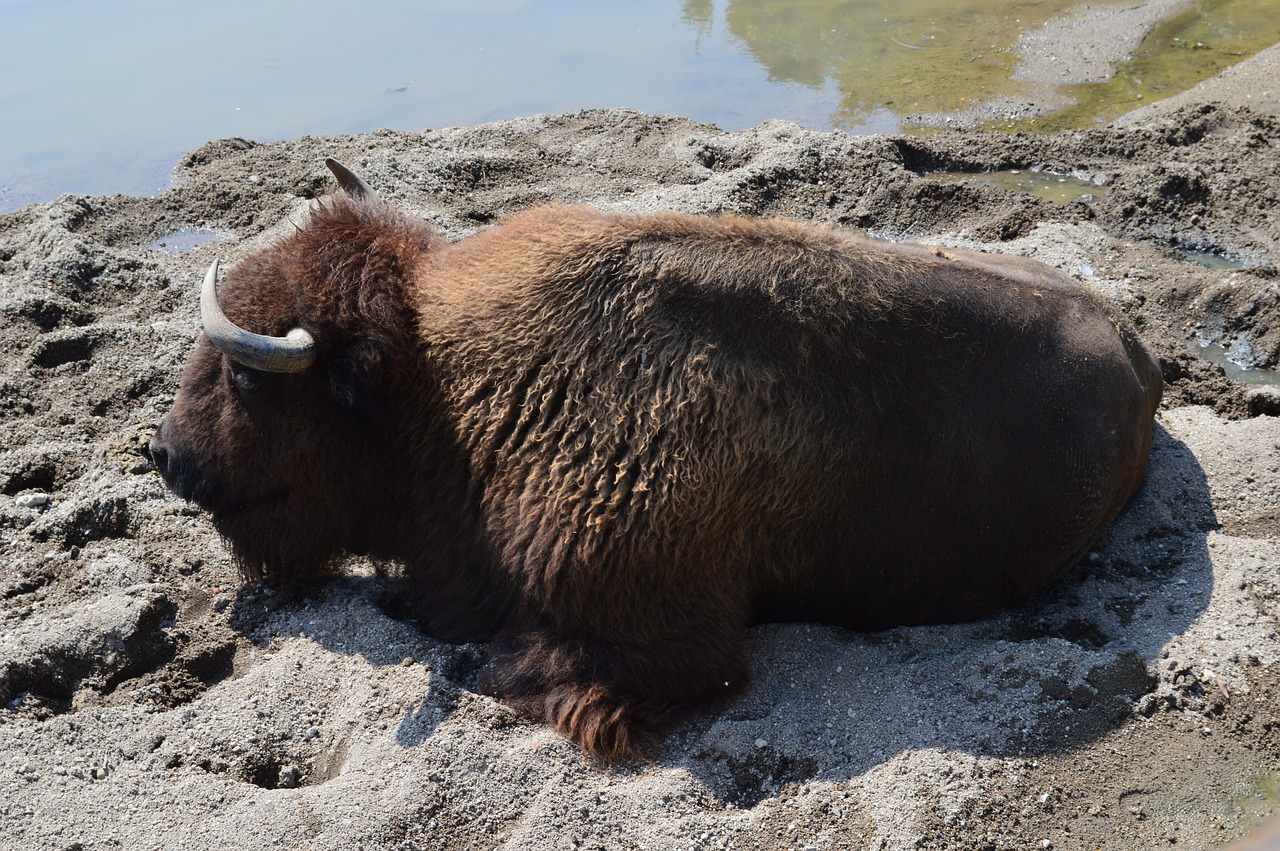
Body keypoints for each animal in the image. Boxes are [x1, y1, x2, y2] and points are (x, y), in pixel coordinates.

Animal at [154, 157, 1167, 757]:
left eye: (245, 377)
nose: (166, 456)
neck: (442, 384)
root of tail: (1134, 343)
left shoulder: (674, 643)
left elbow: (525, 668)